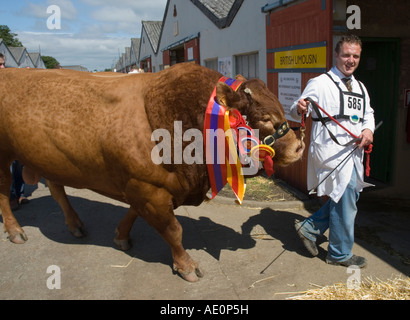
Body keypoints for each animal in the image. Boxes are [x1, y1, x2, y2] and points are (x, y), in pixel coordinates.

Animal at [0, 63, 304, 282]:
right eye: (265, 118)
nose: (299, 146)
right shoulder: (147, 189)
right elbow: (173, 231)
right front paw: (186, 266)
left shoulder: (147, 188)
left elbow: (134, 214)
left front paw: (121, 236)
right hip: (4, 160)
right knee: (5, 195)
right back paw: (16, 231)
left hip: (49, 160)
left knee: (56, 189)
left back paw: (75, 225)